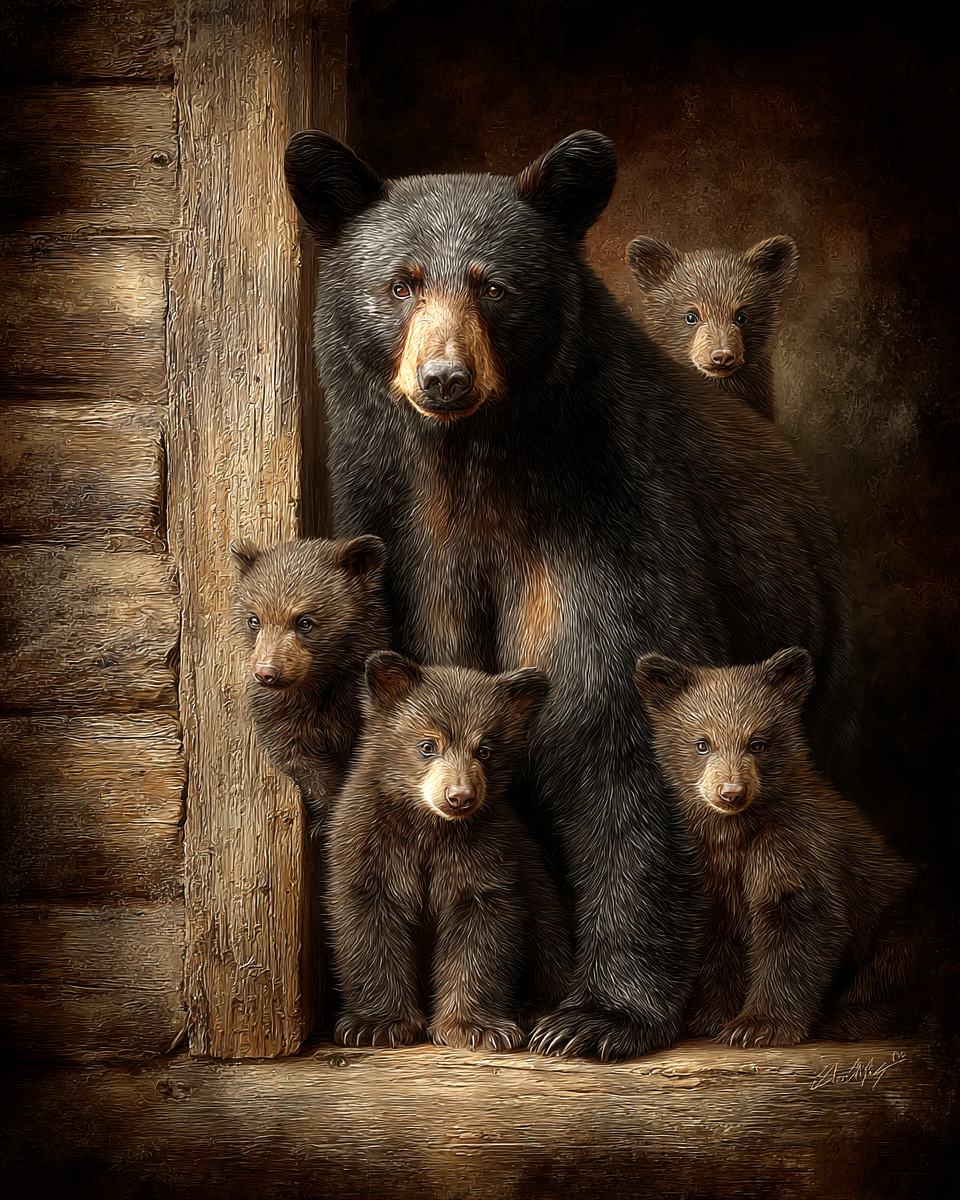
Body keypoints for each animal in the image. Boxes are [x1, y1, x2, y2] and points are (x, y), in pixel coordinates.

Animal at [326, 651, 572, 1051]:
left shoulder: (485, 854)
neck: (429, 828)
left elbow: (480, 932)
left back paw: (532, 1010)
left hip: (546, 915)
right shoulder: (368, 846)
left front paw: (476, 1028)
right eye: (428, 745)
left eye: (485, 749)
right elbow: (369, 925)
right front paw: (376, 1025)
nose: (459, 796)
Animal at [635, 647, 920, 1047]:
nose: (731, 792)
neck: (736, 835)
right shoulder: (706, 869)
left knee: (887, 968)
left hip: (900, 917)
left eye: (757, 743)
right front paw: (711, 1016)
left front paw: (756, 1025)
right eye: (701, 743)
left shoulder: (795, 847)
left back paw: (851, 1017)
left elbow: (799, 925)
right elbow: (714, 935)